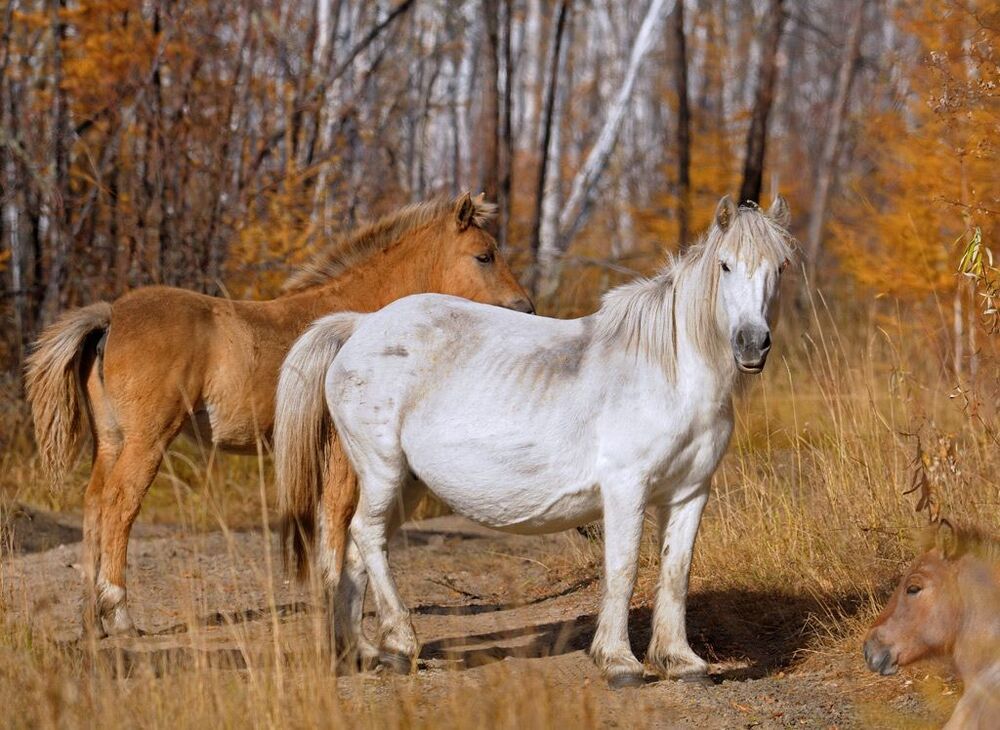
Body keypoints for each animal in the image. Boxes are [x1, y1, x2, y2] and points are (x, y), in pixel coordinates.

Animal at [25, 193, 533, 638]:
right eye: (484, 255)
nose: (525, 309)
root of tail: (110, 317)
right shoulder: (340, 450)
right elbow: (338, 519)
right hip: (145, 442)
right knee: (119, 506)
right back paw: (120, 615)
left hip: (111, 441)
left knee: (94, 505)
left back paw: (91, 621)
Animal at [274, 195, 793, 687]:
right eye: (725, 265)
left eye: (780, 267)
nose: (752, 344)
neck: (670, 375)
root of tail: (359, 325)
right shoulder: (626, 489)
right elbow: (623, 569)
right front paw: (619, 663)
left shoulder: (689, 493)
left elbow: (676, 572)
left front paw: (680, 662)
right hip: (382, 470)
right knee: (366, 534)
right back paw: (401, 643)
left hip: (407, 483)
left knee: (360, 548)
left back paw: (368, 653)